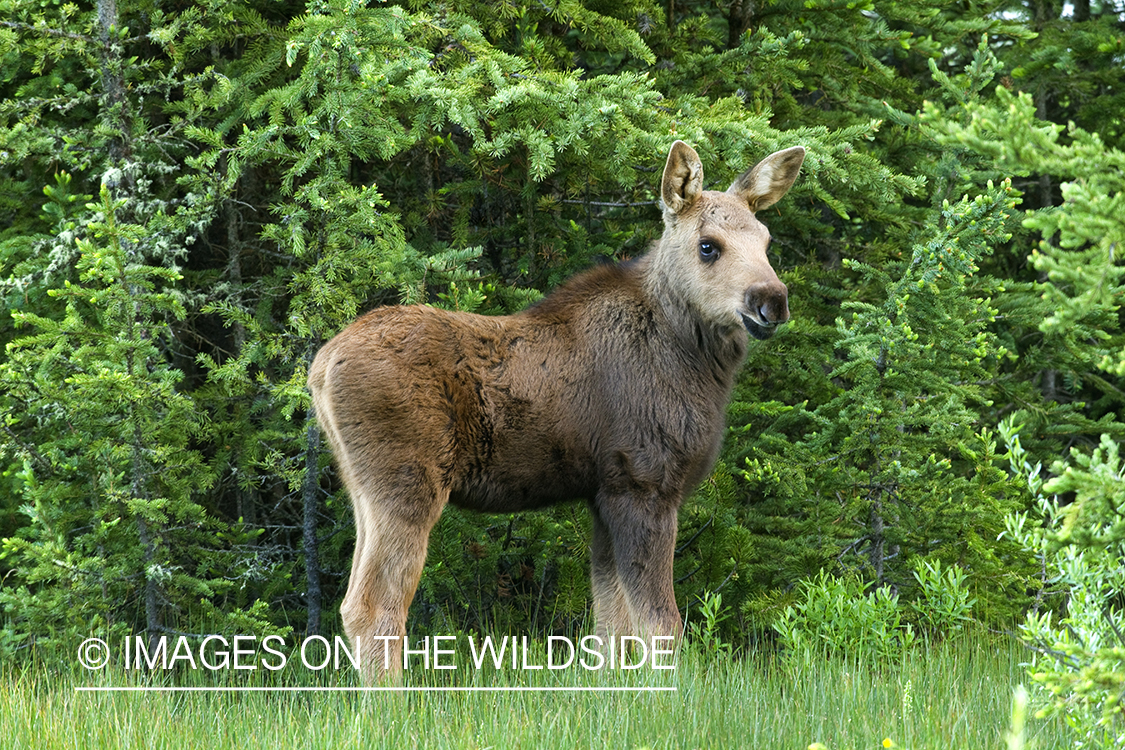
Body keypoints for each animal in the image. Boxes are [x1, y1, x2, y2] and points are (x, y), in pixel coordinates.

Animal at [308, 140, 805, 681]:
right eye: (708, 245)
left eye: (767, 240)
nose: (771, 300)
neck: (696, 363)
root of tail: (321, 366)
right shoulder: (644, 483)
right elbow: (661, 624)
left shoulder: (604, 492)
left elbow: (611, 627)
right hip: (407, 481)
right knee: (376, 605)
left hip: (363, 489)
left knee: (352, 602)